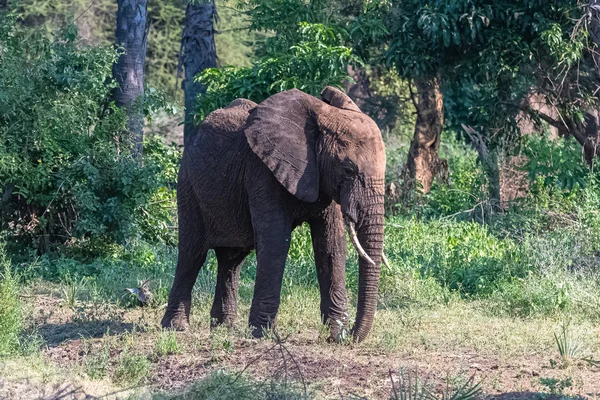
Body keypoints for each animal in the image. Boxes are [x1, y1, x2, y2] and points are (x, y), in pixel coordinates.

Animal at [159, 86, 386, 342]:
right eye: (348, 170)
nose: (351, 336)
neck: (322, 116)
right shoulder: (262, 171)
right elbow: (275, 241)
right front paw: (263, 334)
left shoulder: (323, 179)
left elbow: (330, 244)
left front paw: (335, 333)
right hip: (188, 183)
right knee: (192, 254)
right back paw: (176, 327)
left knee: (232, 260)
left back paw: (225, 329)